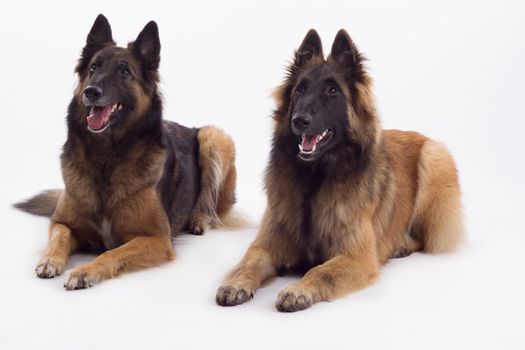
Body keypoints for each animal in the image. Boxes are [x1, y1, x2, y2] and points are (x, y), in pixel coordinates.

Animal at [14, 14, 239, 290]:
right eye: (94, 68)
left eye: (124, 72)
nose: (91, 92)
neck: (106, 156)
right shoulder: (62, 222)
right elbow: (59, 238)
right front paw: (50, 259)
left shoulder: (156, 239)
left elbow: (112, 253)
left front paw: (85, 271)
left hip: (214, 137)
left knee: (215, 209)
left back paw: (198, 219)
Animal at [215, 28, 464, 310]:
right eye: (300, 89)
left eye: (332, 91)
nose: (299, 120)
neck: (314, 180)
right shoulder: (266, 243)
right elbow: (248, 263)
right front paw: (235, 284)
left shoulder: (356, 256)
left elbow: (319, 271)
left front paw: (297, 290)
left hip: (434, 157)